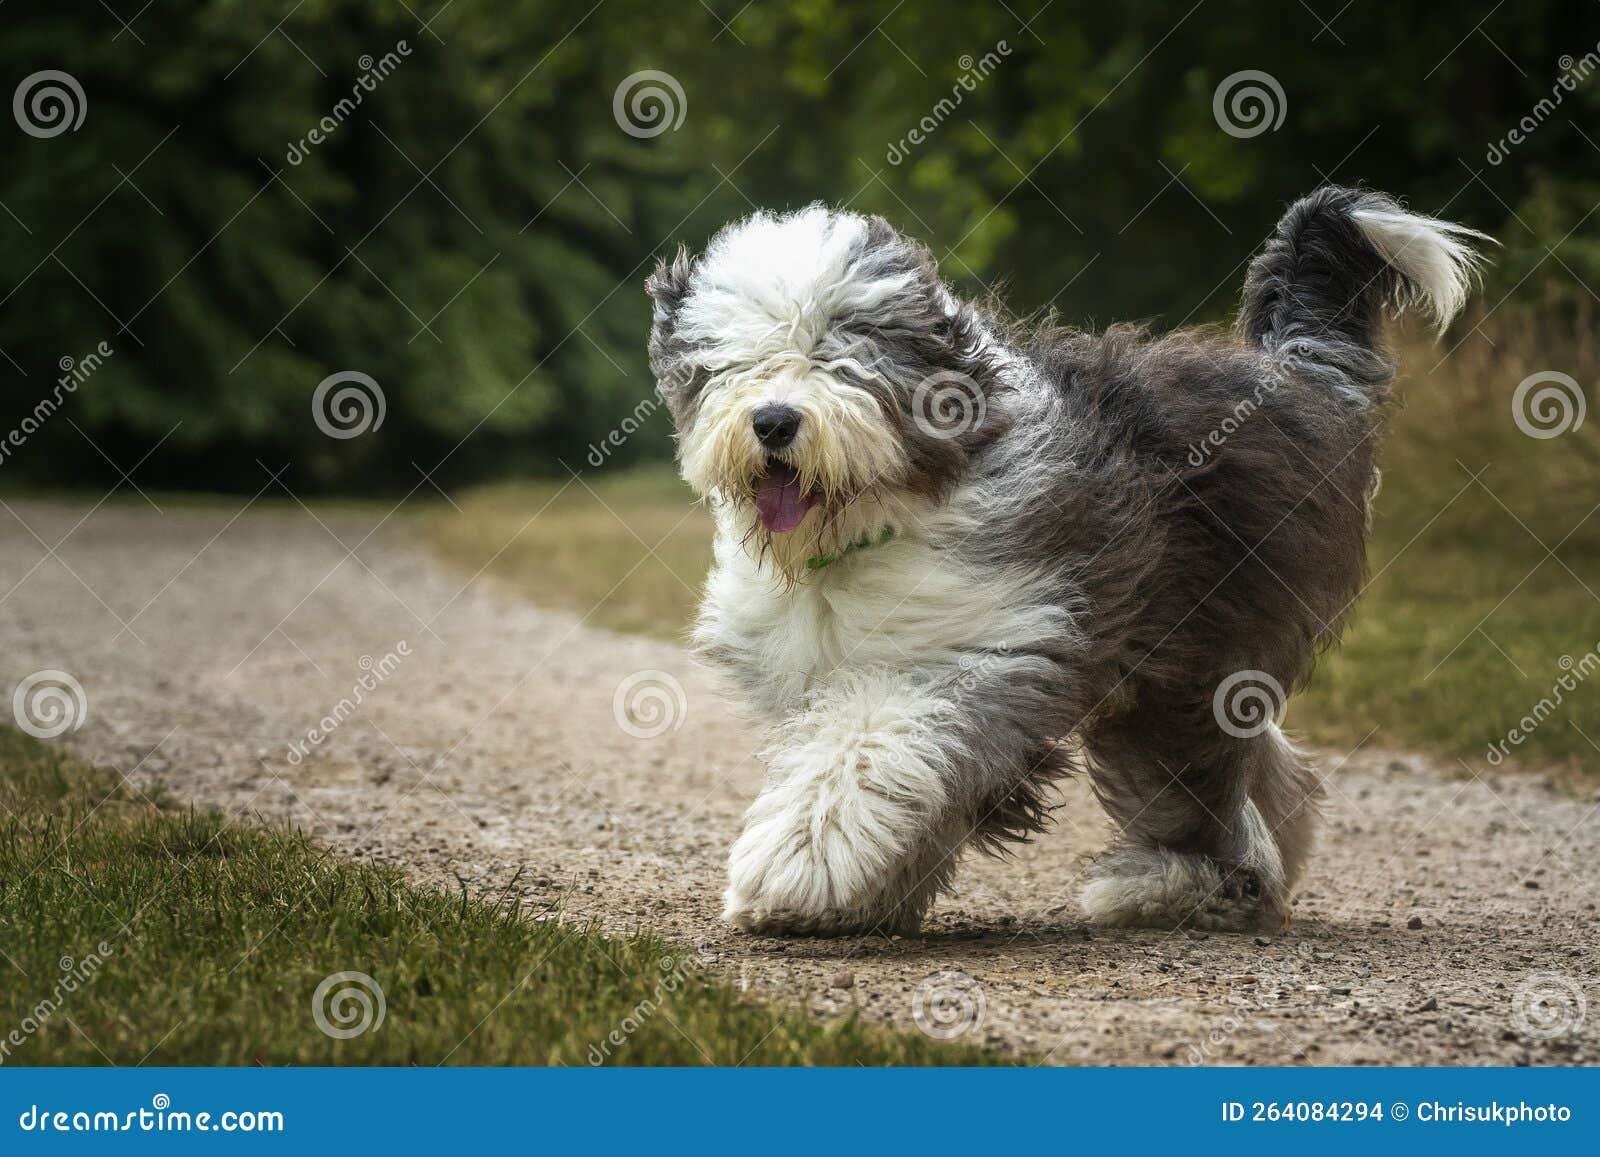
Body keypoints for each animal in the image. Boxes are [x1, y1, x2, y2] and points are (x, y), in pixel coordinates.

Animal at [640, 185, 1484, 934]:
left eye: (838, 351)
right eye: (734, 361)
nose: (774, 421)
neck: (871, 530)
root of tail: (1293, 373)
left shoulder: (993, 650)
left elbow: (868, 750)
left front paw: (796, 863)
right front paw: (865, 895)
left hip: (1186, 661)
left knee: (1195, 788)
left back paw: (1176, 888)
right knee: (1267, 766)